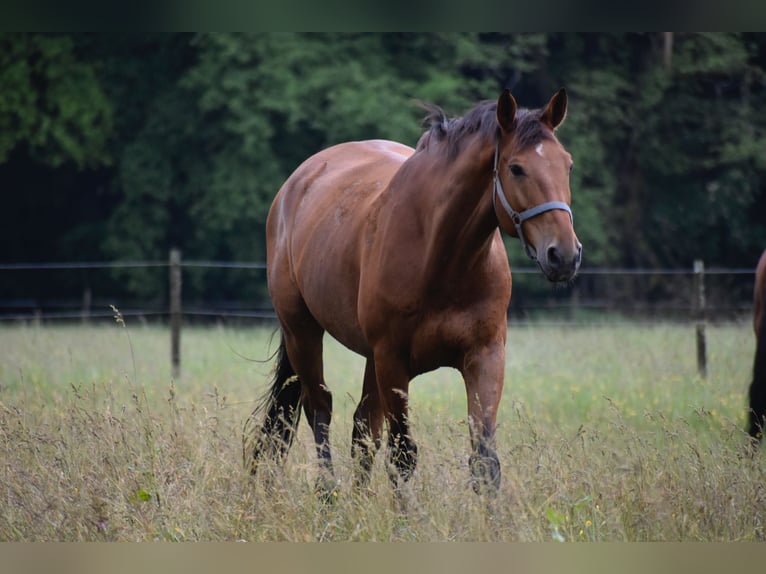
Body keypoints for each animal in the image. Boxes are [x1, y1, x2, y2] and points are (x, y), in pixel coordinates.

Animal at [250, 88, 582, 495]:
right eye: (517, 168)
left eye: (567, 166)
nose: (563, 254)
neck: (442, 260)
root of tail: (295, 185)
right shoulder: (393, 361)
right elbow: (403, 456)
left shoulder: (485, 356)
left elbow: (485, 461)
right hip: (303, 331)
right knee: (320, 410)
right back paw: (329, 496)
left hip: (367, 357)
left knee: (363, 428)